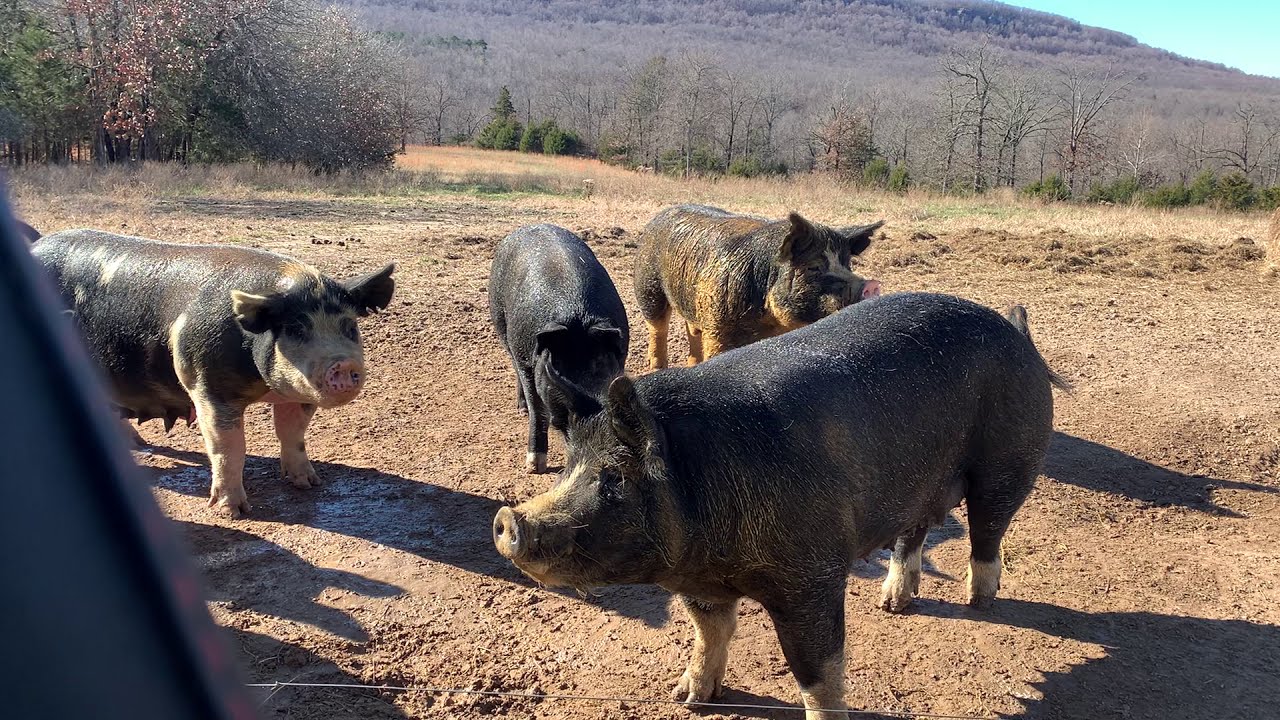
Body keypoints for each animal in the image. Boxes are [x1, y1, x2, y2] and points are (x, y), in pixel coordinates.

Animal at [31, 229, 395, 517]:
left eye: (349, 327)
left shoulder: (296, 394)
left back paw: (138, 443)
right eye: (296, 329)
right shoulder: (206, 386)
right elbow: (228, 447)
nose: (343, 364)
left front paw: (309, 483)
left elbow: (292, 434)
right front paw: (232, 512)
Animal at [489, 224, 629, 474]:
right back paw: (521, 409)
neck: (577, 316)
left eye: (601, 367)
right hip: (502, 325)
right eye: (558, 369)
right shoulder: (527, 360)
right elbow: (538, 408)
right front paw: (534, 466)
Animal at [493, 292, 1068, 719]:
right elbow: (710, 632)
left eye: (613, 477)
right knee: (914, 532)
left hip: (1010, 459)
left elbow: (818, 674)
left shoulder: (812, 576)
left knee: (988, 528)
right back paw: (893, 604)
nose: (509, 519)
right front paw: (687, 698)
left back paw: (979, 602)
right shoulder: (699, 581)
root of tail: (1016, 333)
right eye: (569, 467)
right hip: (918, 481)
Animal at [633, 205, 883, 369]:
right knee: (657, 327)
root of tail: (658, 217)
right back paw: (657, 369)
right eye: (813, 267)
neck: (767, 323)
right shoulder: (717, 326)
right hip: (647, 285)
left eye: (847, 264)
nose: (871, 285)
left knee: (691, 328)